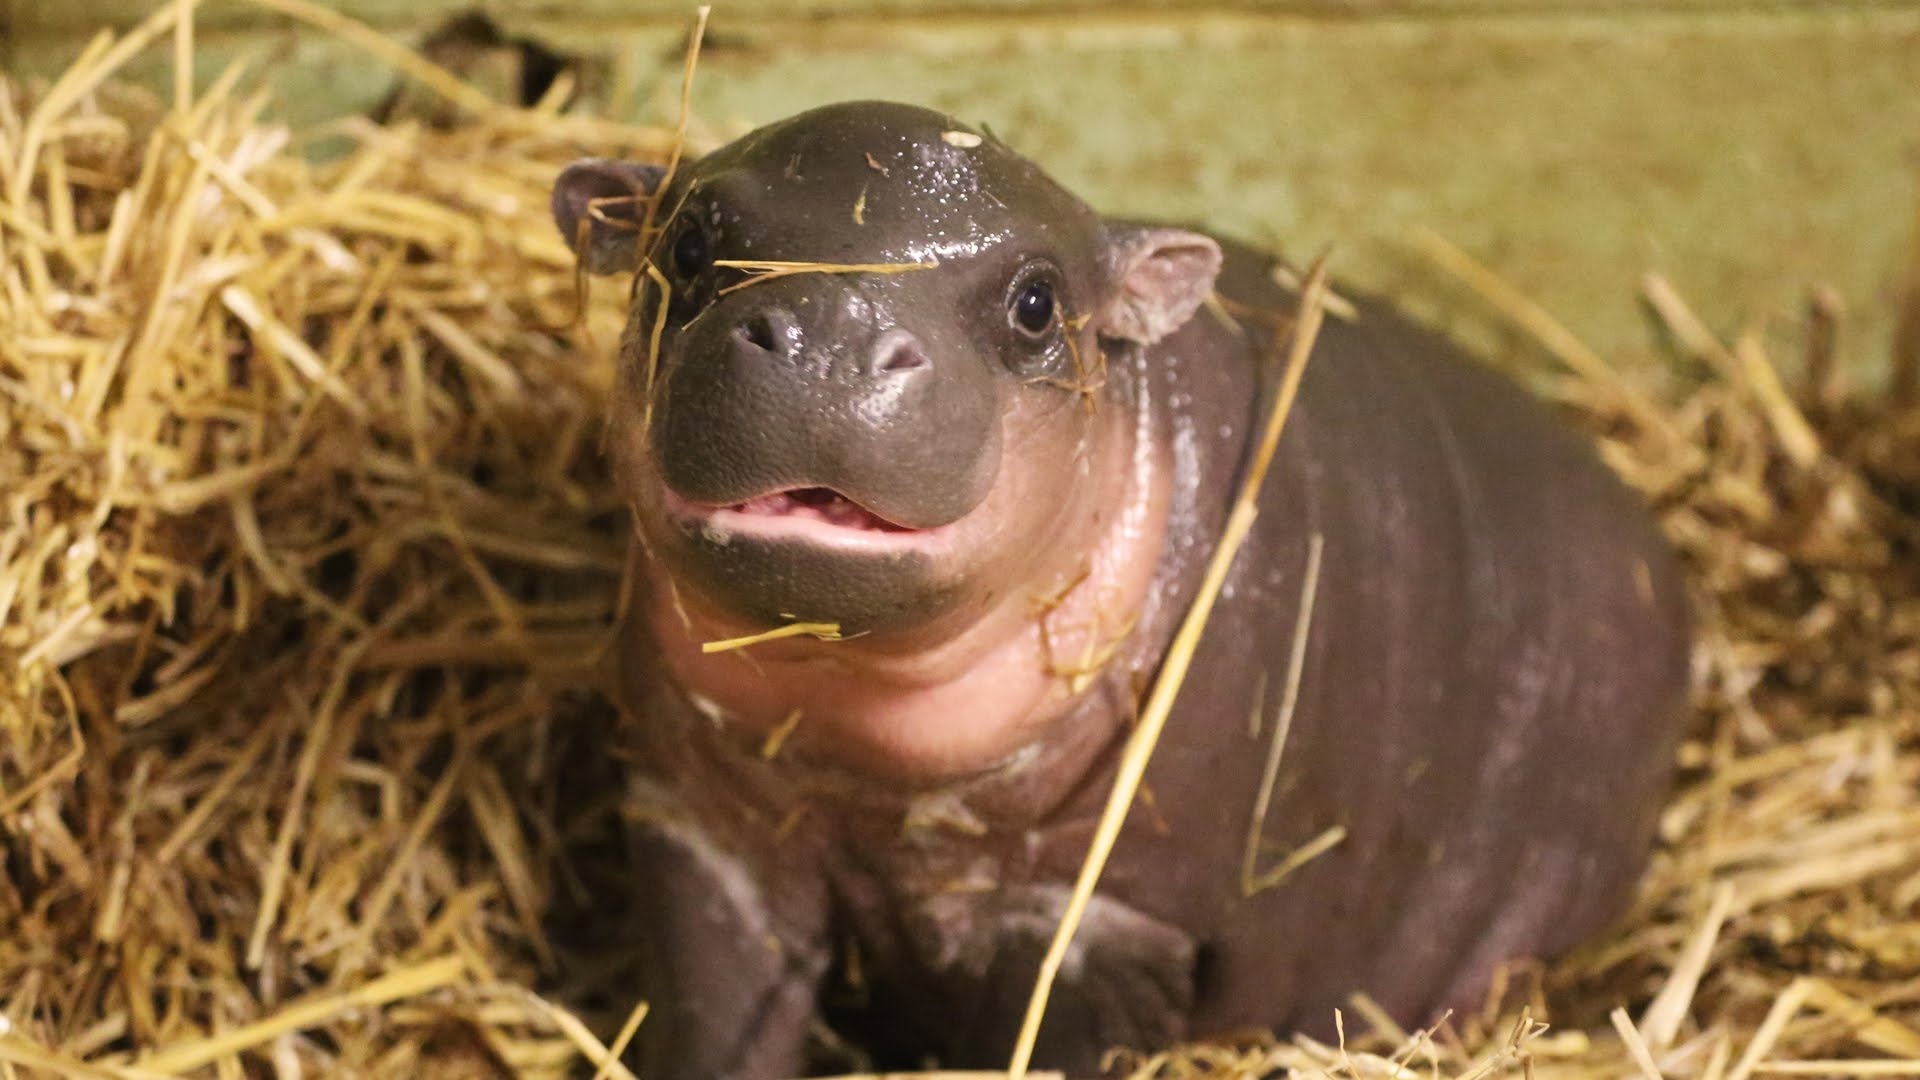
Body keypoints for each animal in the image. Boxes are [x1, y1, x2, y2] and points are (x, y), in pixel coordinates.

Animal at [549, 102, 1689, 1076]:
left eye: (1038, 303)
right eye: (686, 246)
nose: (831, 329)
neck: (855, 751)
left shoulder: (1101, 916)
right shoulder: (700, 823)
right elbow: (715, 1016)